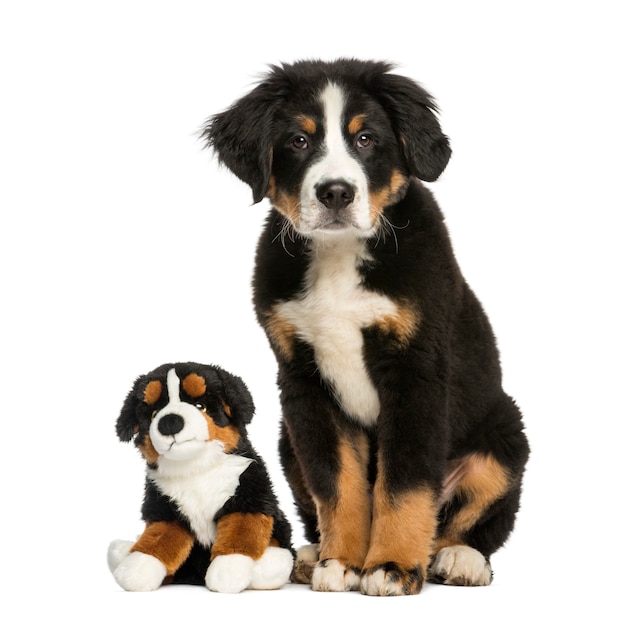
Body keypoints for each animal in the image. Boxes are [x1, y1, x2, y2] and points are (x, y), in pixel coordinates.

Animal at [204, 59, 528, 596]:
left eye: (366, 139)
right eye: (298, 140)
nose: (336, 192)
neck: (339, 257)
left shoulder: (415, 371)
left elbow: (404, 483)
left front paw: (392, 565)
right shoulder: (305, 381)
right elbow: (338, 485)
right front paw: (342, 562)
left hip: (503, 434)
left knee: (469, 521)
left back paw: (460, 560)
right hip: (287, 439)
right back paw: (310, 555)